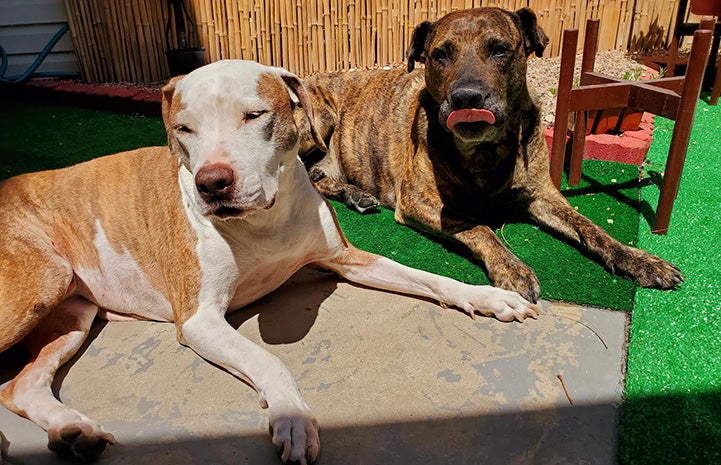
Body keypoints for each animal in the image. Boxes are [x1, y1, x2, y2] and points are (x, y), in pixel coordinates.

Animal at [0, 59, 536, 462]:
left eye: (254, 115)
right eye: (183, 128)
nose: (212, 184)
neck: (263, 220)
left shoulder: (347, 258)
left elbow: (428, 277)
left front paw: (492, 297)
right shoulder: (199, 320)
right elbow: (269, 358)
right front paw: (292, 418)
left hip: (72, 312)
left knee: (20, 389)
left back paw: (74, 431)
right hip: (41, 281)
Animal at [296, 8, 680, 304]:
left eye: (499, 50)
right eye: (440, 54)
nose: (467, 97)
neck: (485, 151)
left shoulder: (543, 196)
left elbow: (591, 228)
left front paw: (640, 260)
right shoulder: (420, 201)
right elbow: (479, 227)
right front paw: (512, 268)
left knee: (316, 176)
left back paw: (355, 194)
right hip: (317, 119)